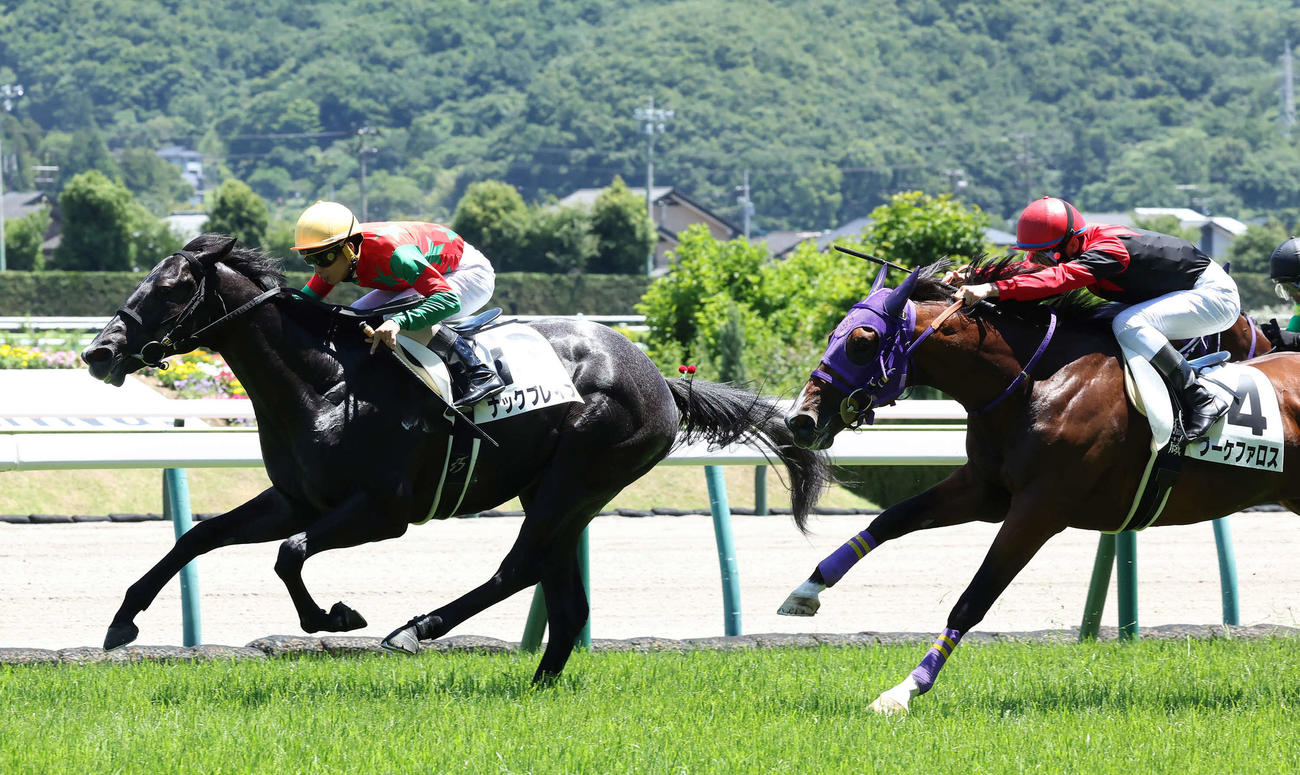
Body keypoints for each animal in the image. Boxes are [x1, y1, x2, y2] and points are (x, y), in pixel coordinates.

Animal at [81, 234, 829, 682]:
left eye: (172, 286)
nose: (98, 350)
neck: (325, 382)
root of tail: (658, 377)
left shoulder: (382, 511)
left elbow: (290, 555)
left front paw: (336, 618)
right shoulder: (297, 498)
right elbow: (201, 535)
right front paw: (122, 620)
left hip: (579, 476)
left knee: (519, 567)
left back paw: (418, 628)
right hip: (561, 492)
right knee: (565, 597)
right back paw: (538, 684)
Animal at [779, 256, 1300, 714]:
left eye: (862, 342)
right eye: (834, 335)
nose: (800, 421)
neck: (1036, 384)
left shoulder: (1039, 510)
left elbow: (973, 599)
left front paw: (902, 692)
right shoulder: (985, 489)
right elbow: (891, 519)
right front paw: (806, 589)